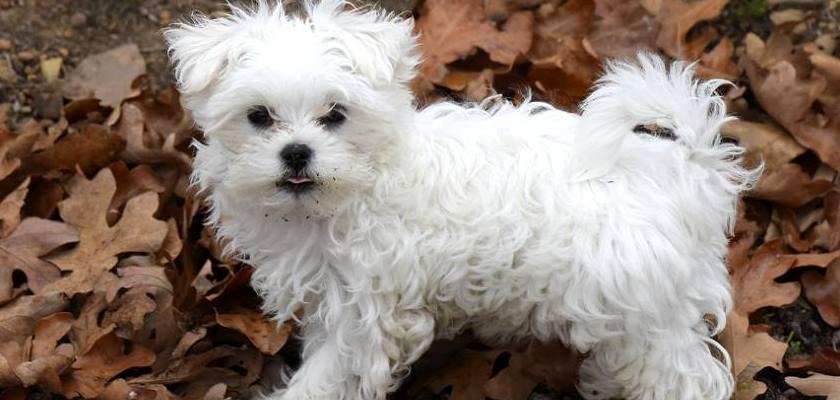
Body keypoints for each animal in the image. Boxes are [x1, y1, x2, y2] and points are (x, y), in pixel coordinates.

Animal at [167, 0, 756, 400]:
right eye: (258, 116)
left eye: (335, 114)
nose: (295, 153)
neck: (359, 184)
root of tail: (684, 167)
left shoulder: (370, 308)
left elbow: (332, 371)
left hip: (641, 307)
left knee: (685, 376)